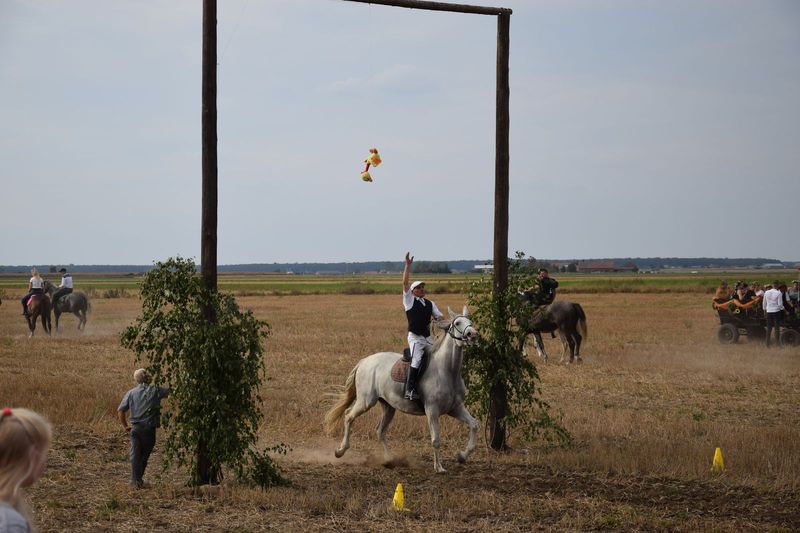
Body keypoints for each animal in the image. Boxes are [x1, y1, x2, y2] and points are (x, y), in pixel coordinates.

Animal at [326, 308, 482, 474]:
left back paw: (389, 460)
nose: (473, 334)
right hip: (366, 401)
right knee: (349, 416)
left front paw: (462, 456)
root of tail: (364, 361)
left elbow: (474, 424)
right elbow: (436, 439)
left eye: (470, 321)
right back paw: (340, 451)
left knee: (380, 431)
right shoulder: (432, 411)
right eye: (458, 323)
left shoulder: (455, 408)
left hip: (388, 406)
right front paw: (439, 467)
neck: (447, 370)